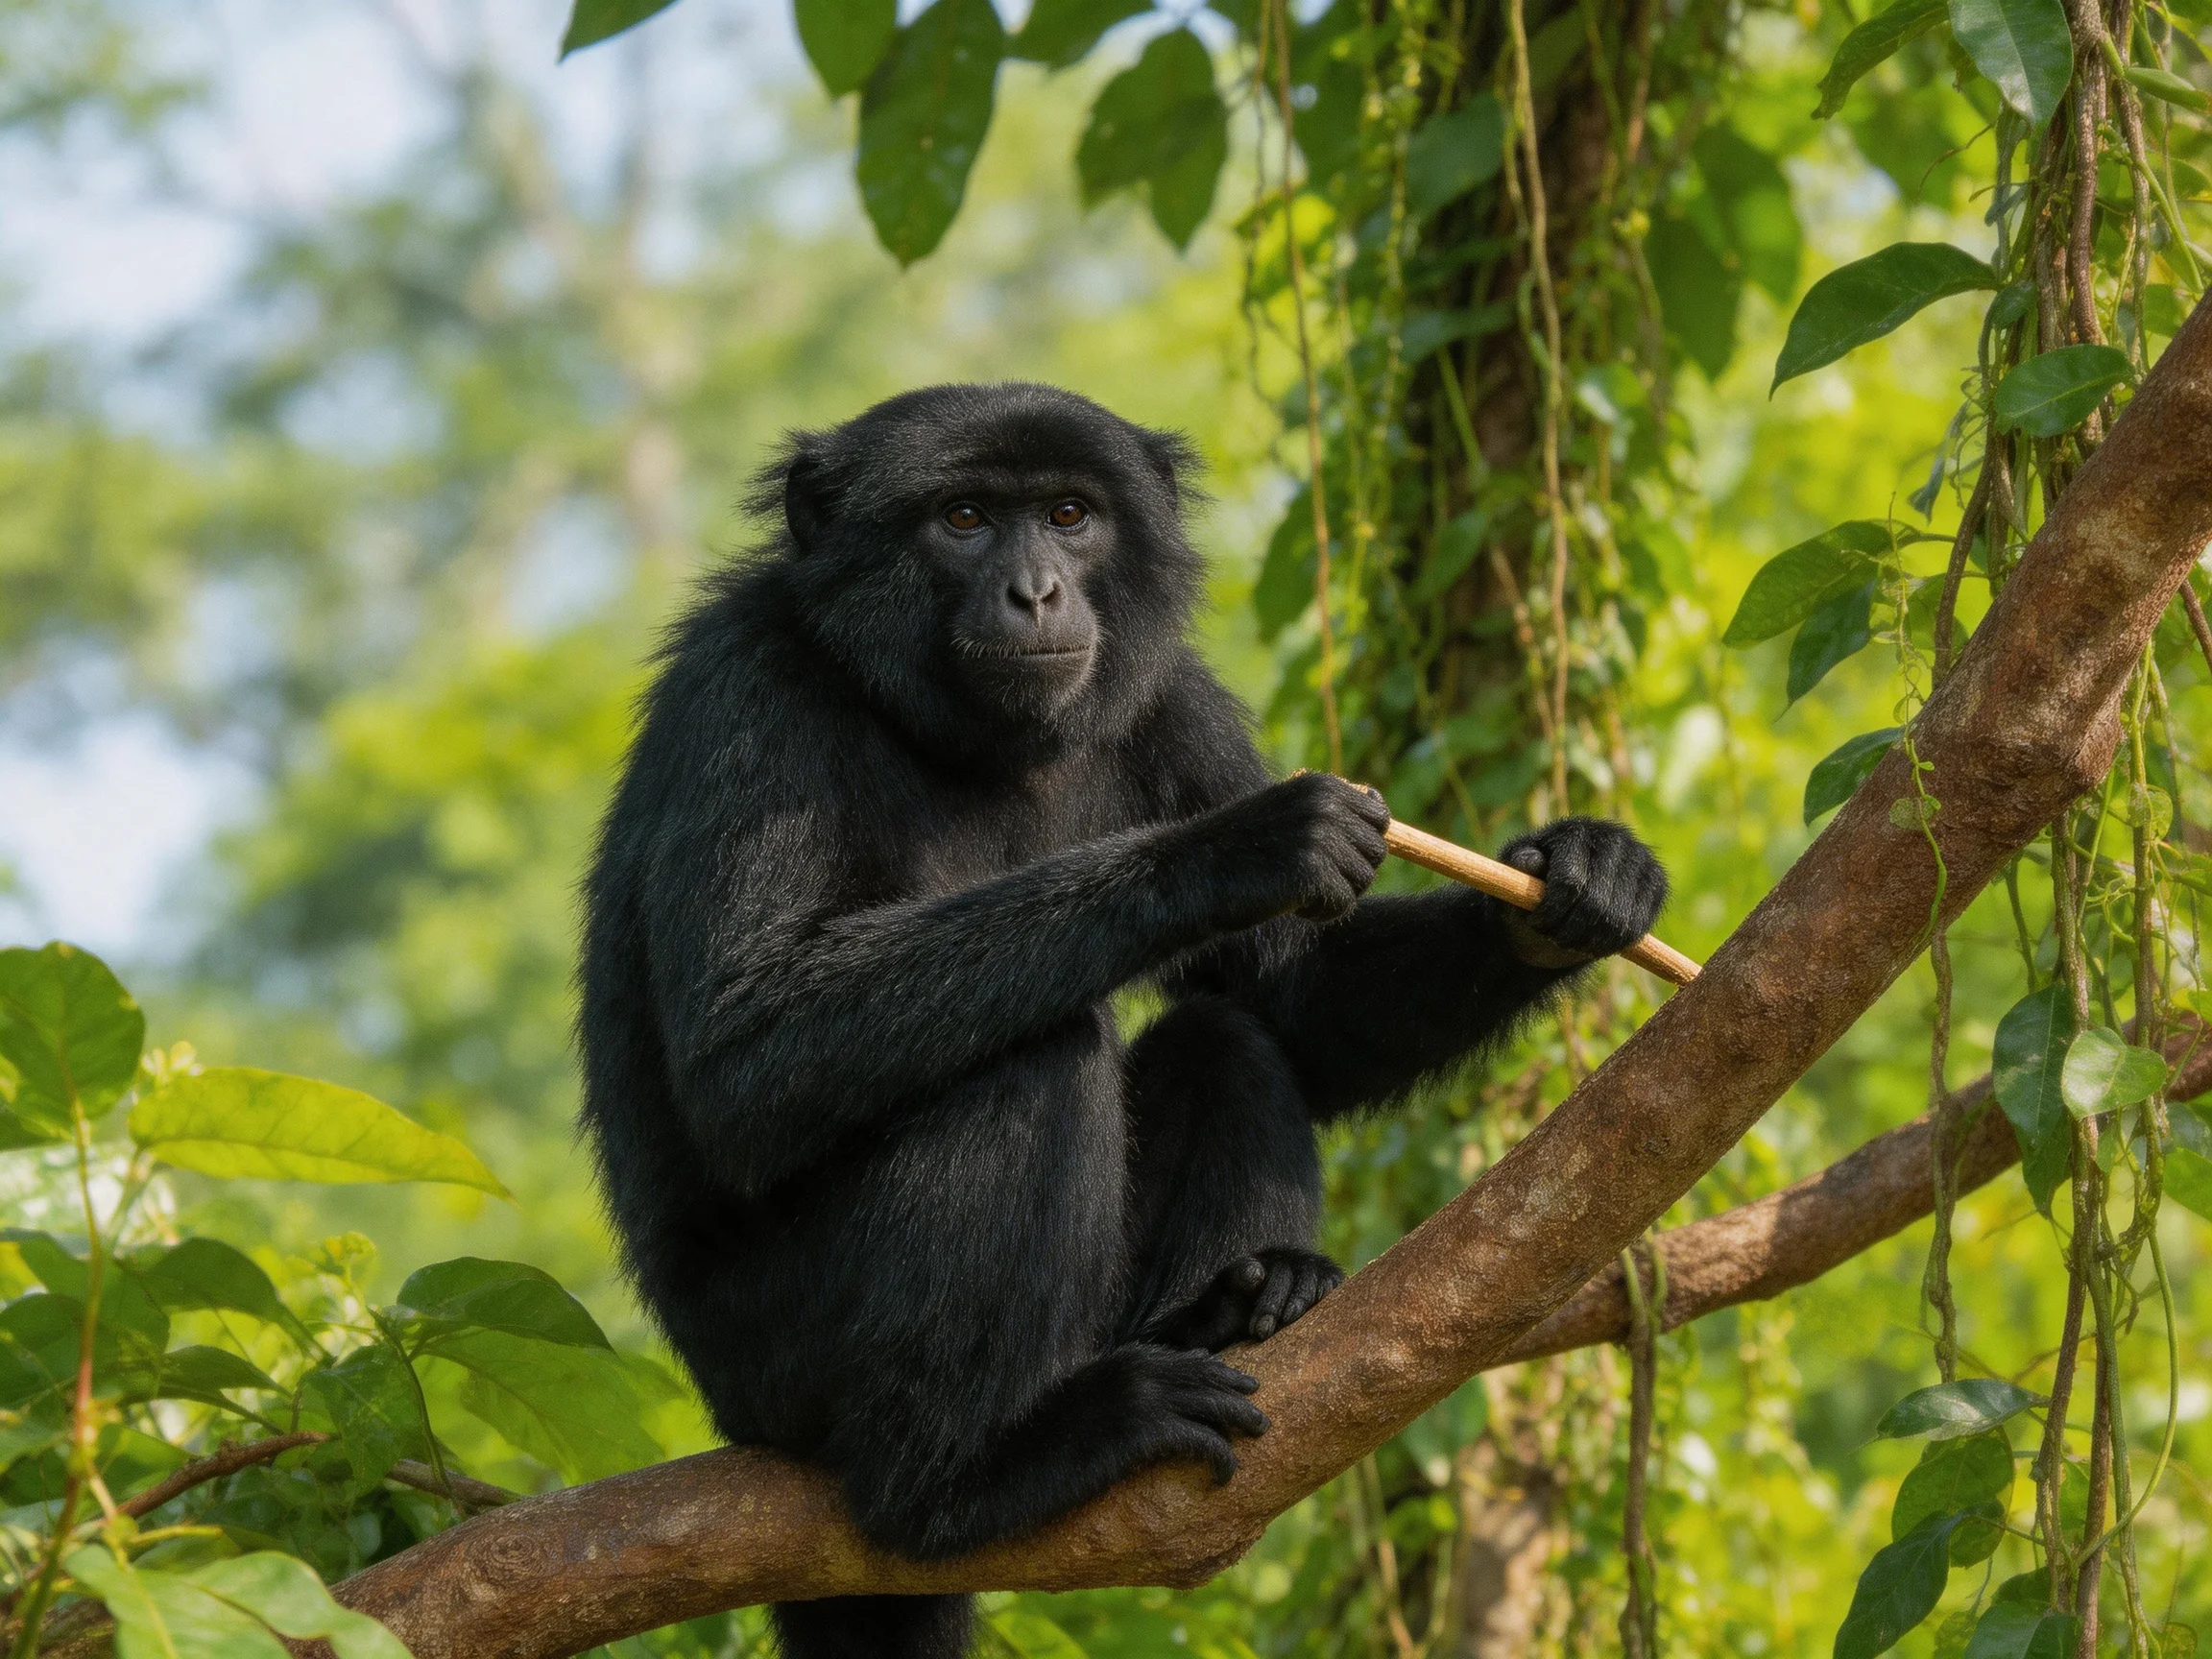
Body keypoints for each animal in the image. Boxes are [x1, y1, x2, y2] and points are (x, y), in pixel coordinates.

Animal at [578, 382, 1668, 1659]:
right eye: (963, 518)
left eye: (1069, 515)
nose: (1037, 590)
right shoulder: (746, 689)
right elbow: (746, 1052)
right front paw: (1235, 849)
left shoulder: (1168, 696)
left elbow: (1290, 1004)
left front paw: (1565, 889)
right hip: (770, 1356)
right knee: (1029, 1060)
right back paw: (966, 1476)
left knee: (1219, 1040)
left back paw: (1242, 1304)